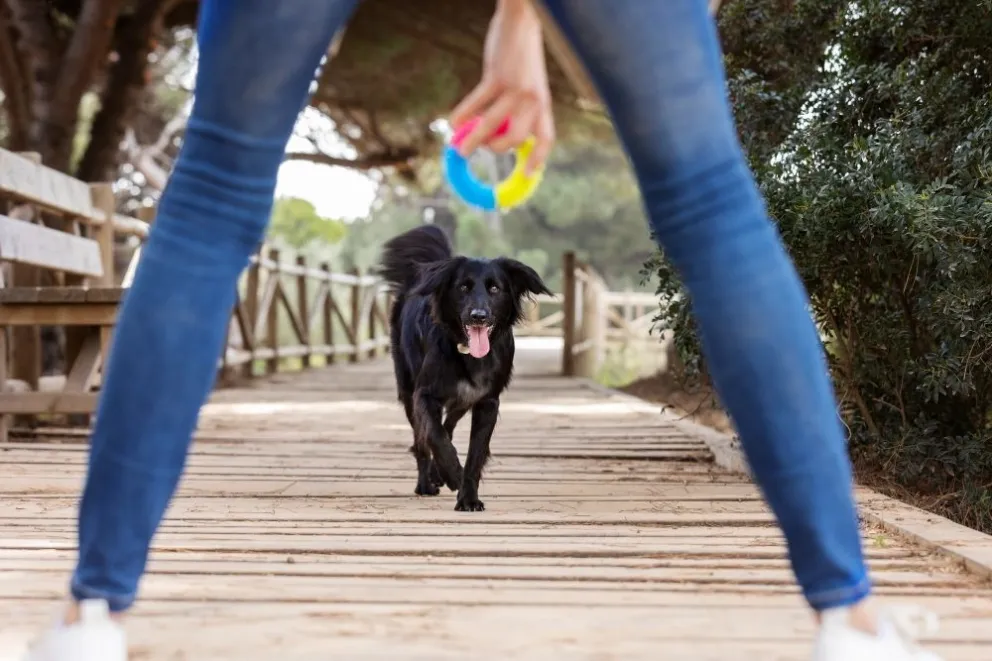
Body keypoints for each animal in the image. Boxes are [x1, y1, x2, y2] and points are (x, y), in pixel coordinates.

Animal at [377, 225, 551, 511]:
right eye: (463, 287)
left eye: (494, 288)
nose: (478, 316)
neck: (468, 354)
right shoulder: (424, 395)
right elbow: (437, 439)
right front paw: (452, 476)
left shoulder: (487, 401)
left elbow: (474, 452)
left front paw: (468, 495)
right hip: (408, 391)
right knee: (422, 439)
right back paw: (426, 483)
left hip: (462, 400)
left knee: (446, 425)